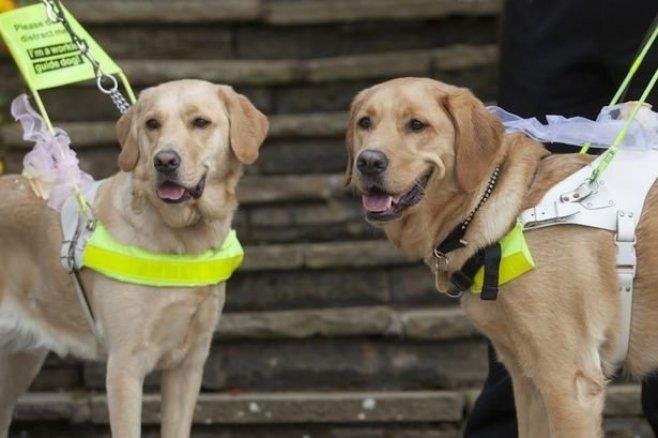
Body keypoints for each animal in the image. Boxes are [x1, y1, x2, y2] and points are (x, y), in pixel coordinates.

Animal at [0, 79, 270, 438]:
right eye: (152, 124)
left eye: (200, 122)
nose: (165, 161)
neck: (182, 241)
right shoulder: (124, 367)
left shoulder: (189, 365)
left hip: (19, 363)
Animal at [344, 77, 656, 436]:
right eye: (365, 123)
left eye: (416, 125)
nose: (368, 161)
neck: (511, 211)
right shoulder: (527, 380)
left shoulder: (568, 381)